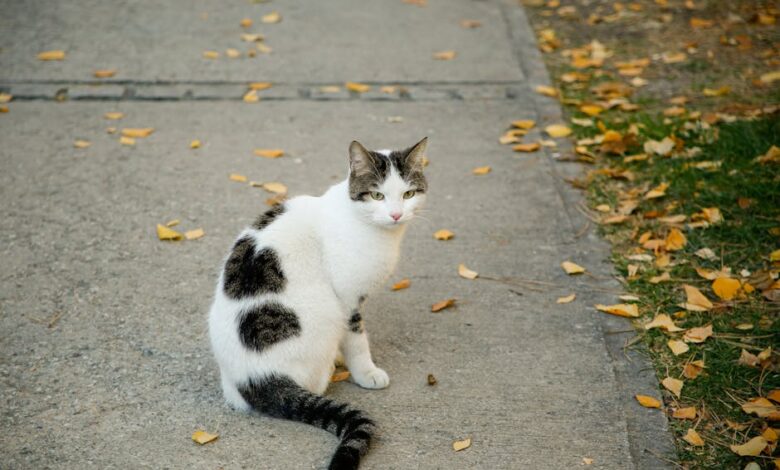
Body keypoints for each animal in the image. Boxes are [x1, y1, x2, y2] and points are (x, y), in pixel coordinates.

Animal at [208, 137, 428, 470]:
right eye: (377, 194)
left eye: (408, 194)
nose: (396, 215)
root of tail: (256, 378)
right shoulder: (347, 298)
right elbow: (357, 340)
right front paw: (366, 372)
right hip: (326, 314)